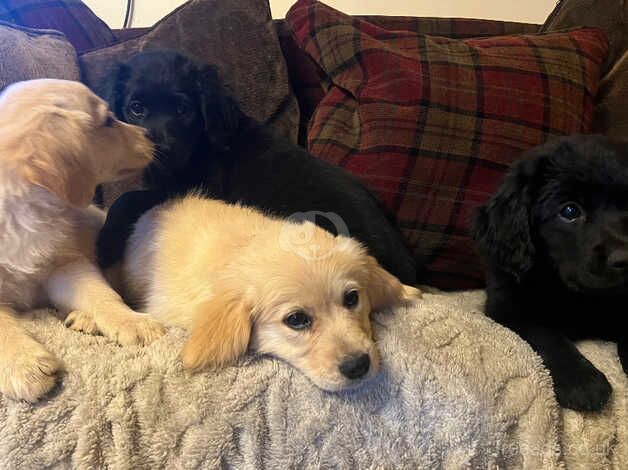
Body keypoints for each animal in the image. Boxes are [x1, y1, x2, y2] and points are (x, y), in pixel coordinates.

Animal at [0, 79, 164, 402]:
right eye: (108, 121)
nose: (149, 134)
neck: (22, 210)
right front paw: (24, 366)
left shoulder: (65, 264)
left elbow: (101, 293)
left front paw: (133, 322)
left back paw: (85, 319)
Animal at [94, 50, 418, 286]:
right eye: (136, 108)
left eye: (183, 109)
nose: (161, 153)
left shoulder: (199, 188)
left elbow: (127, 198)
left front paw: (106, 243)